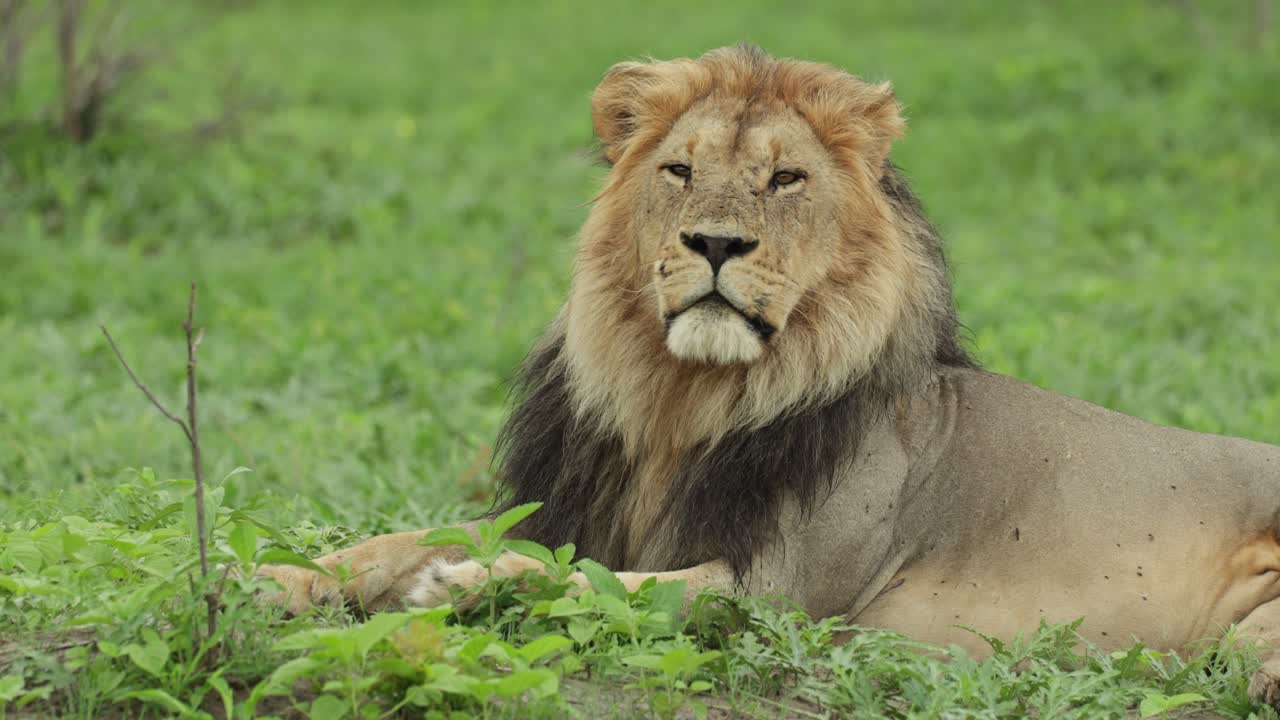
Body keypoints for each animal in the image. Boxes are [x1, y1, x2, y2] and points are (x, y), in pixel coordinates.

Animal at [260, 45, 1280, 706]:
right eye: (679, 170)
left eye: (786, 180)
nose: (715, 243)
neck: (680, 402)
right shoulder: (575, 510)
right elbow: (396, 538)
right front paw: (270, 581)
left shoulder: (784, 592)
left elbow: (605, 585)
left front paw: (463, 588)